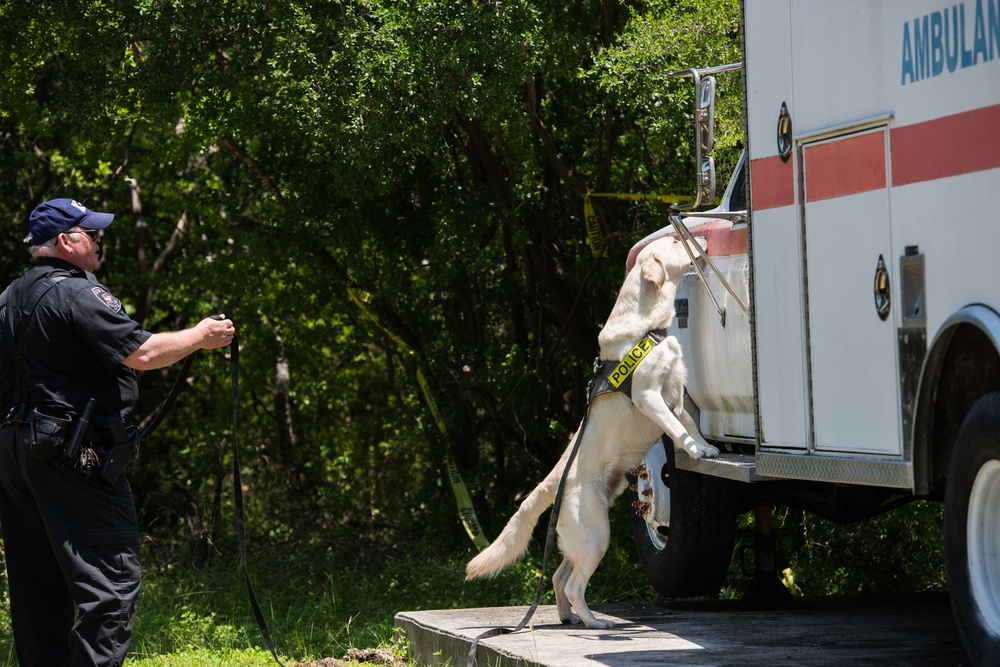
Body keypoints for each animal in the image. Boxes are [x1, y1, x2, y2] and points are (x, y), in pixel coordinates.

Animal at [468, 236, 720, 632]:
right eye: (675, 240)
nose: (703, 238)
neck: (647, 327)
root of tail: (554, 481)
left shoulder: (676, 396)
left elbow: (690, 425)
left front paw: (706, 446)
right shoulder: (650, 396)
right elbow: (680, 431)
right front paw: (697, 450)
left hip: (582, 539)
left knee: (558, 577)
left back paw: (570, 618)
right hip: (596, 535)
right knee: (573, 584)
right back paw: (594, 622)